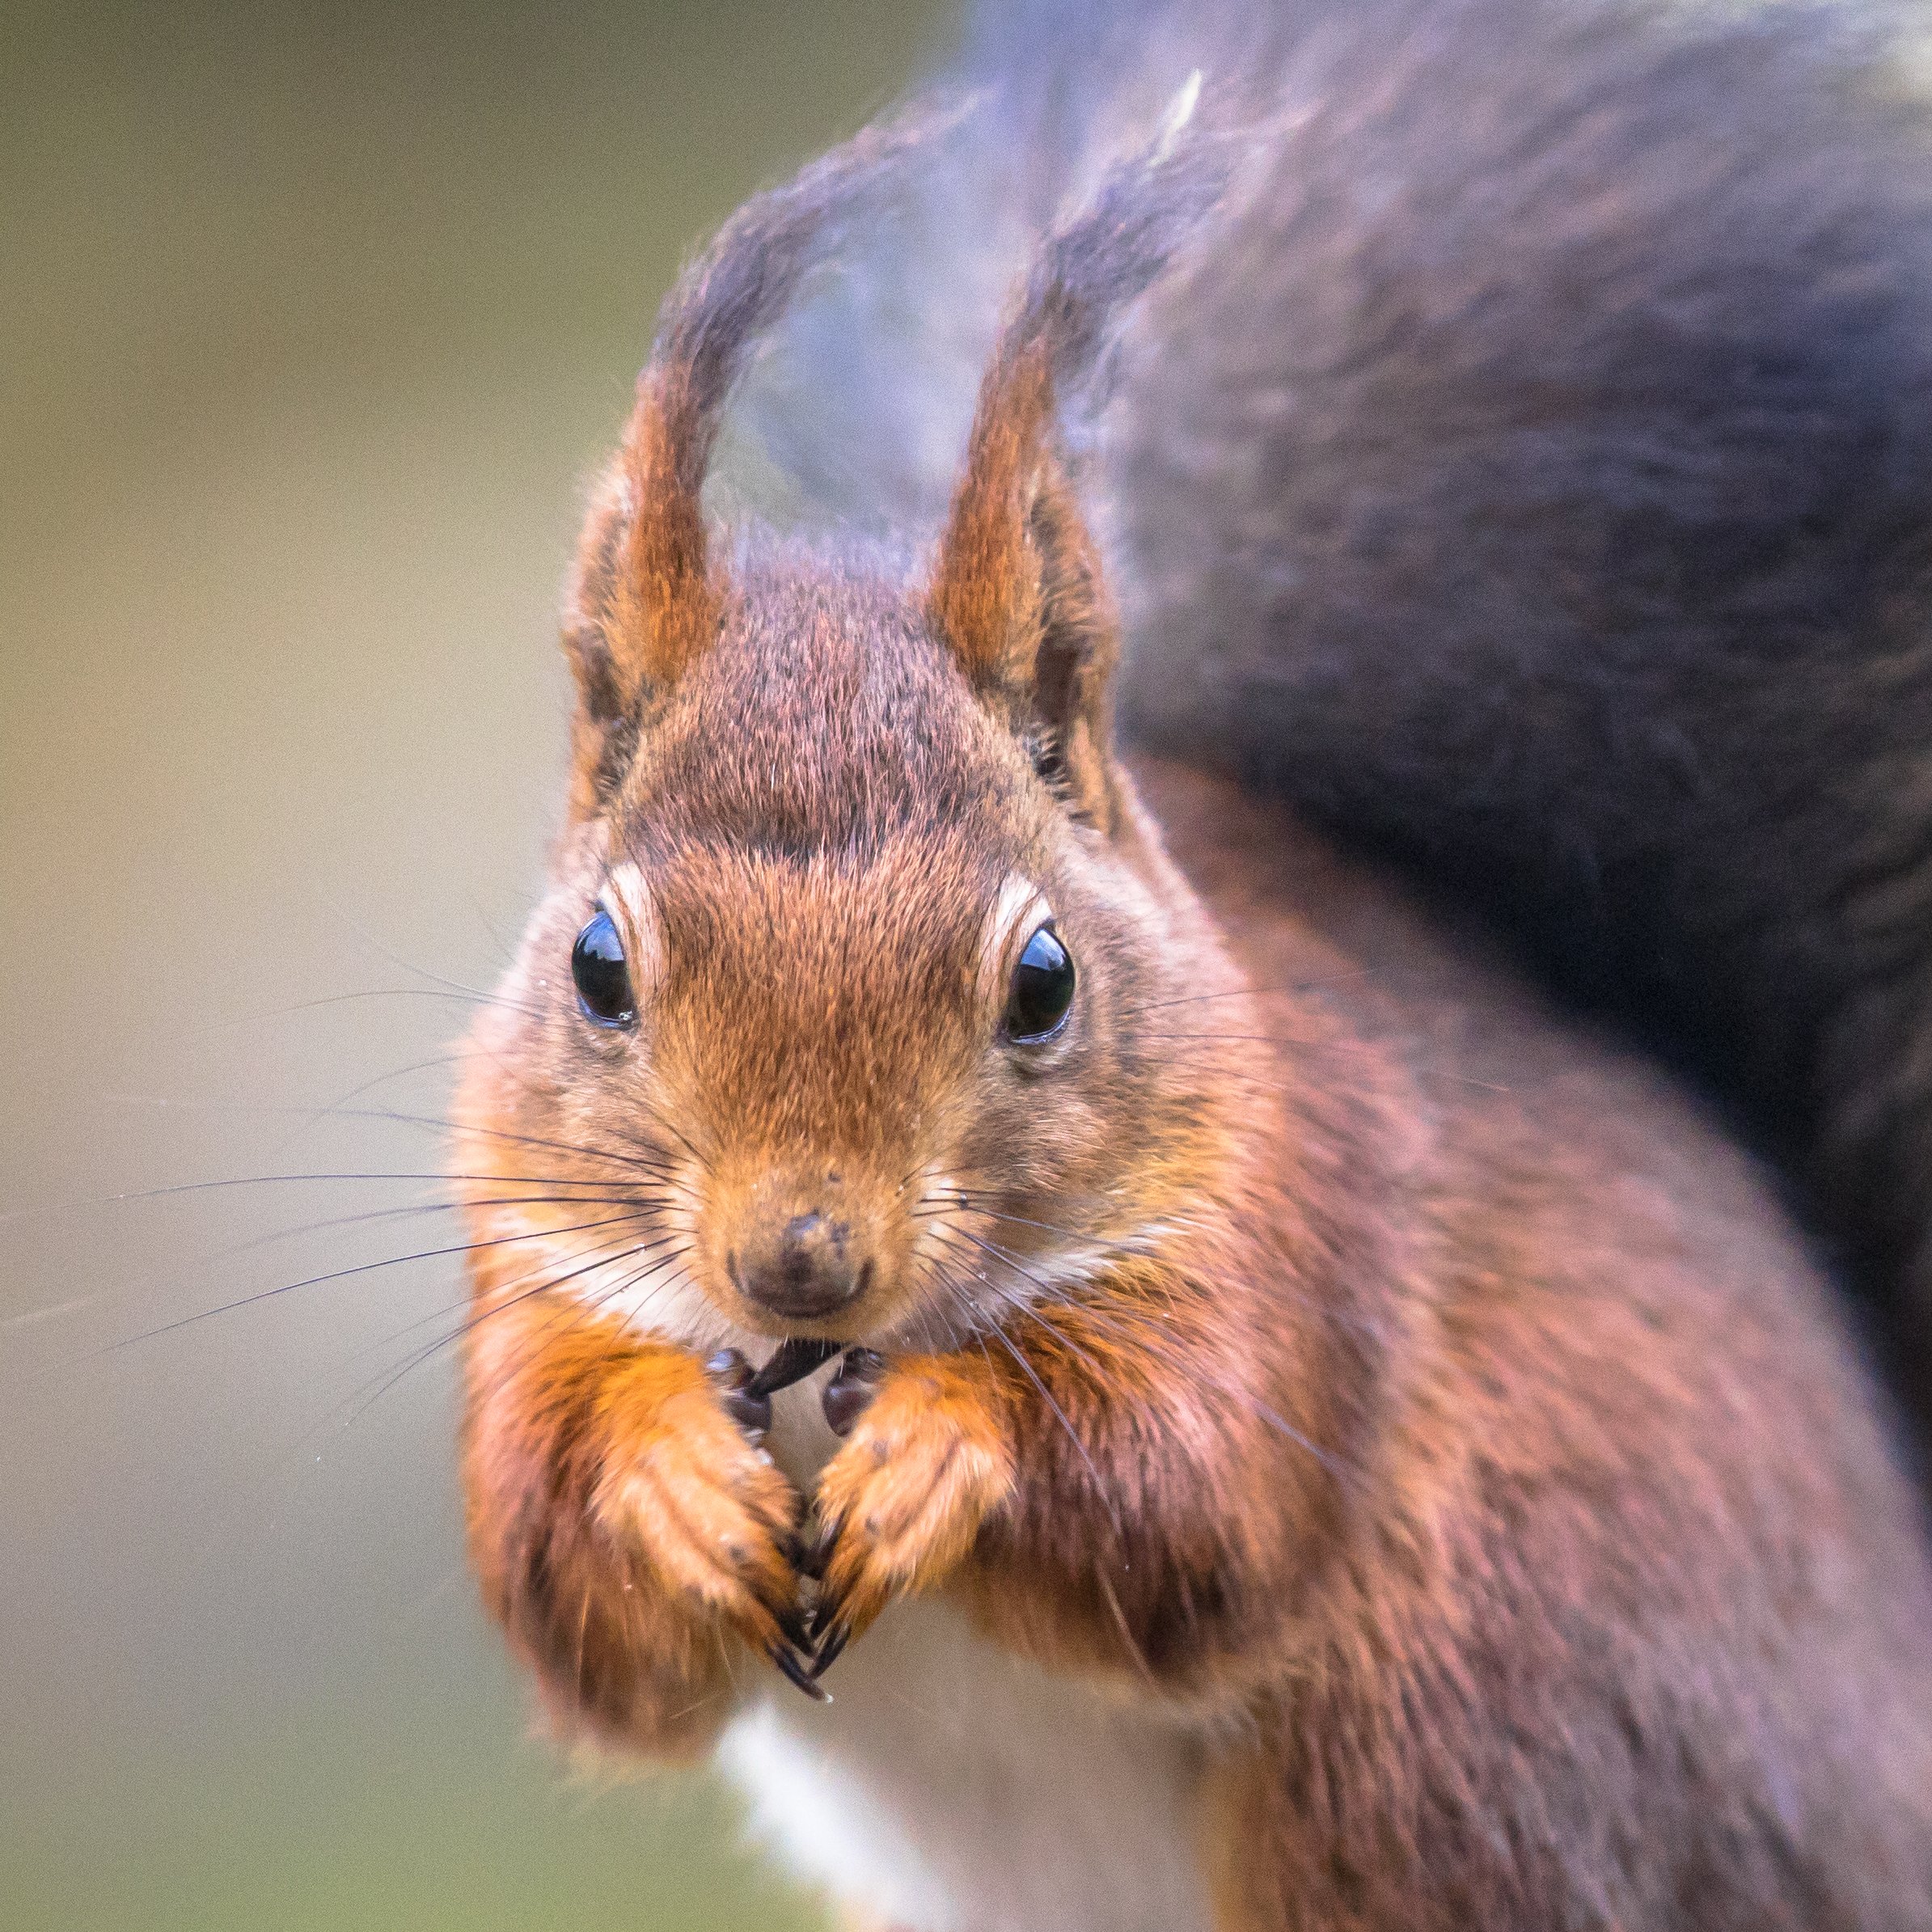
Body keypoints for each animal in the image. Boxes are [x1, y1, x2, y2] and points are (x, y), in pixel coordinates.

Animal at [448, 7, 1932, 1924]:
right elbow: (557, 1571)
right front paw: (669, 1480)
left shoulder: (1298, 1215)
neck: (824, 1363)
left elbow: (1187, 1491)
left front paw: (949, 1442)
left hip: (1462, 1731)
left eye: (1045, 981)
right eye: (597, 966)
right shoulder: (525, 1271)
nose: (800, 1257)